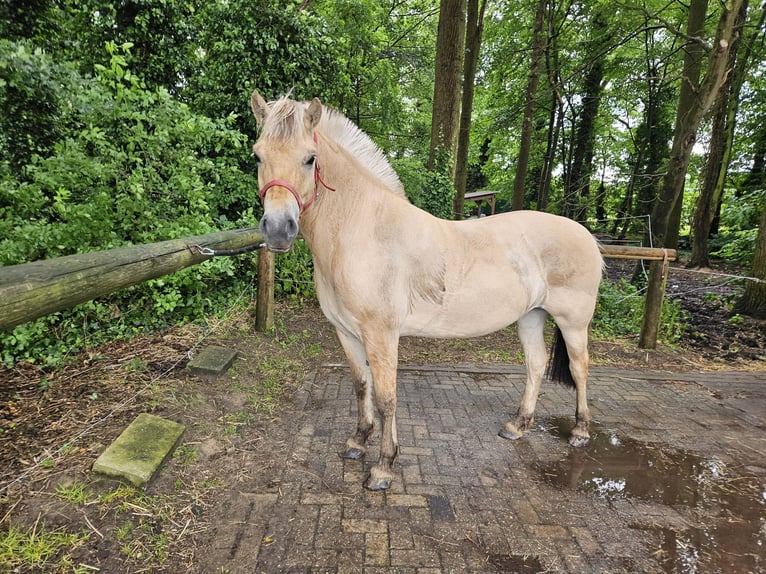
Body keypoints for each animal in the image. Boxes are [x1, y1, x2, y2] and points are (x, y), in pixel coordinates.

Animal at [252, 92, 608, 492]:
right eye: (258, 155)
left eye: (310, 158)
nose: (278, 229)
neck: (363, 230)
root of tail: (587, 236)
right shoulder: (346, 332)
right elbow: (361, 385)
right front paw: (357, 441)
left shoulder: (381, 334)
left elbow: (387, 398)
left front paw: (383, 467)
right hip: (531, 317)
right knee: (535, 364)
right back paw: (517, 426)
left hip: (573, 323)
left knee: (579, 369)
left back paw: (580, 432)